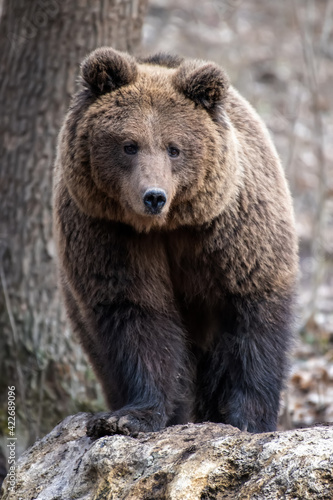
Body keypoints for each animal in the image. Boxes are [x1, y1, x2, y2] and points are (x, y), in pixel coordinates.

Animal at [53, 47, 296, 438]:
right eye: (129, 145)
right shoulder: (110, 235)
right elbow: (140, 316)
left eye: (174, 148)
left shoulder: (232, 234)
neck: (168, 226)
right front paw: (129, 417)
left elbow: (253, 324)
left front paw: (248, 420)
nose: (154, 196)